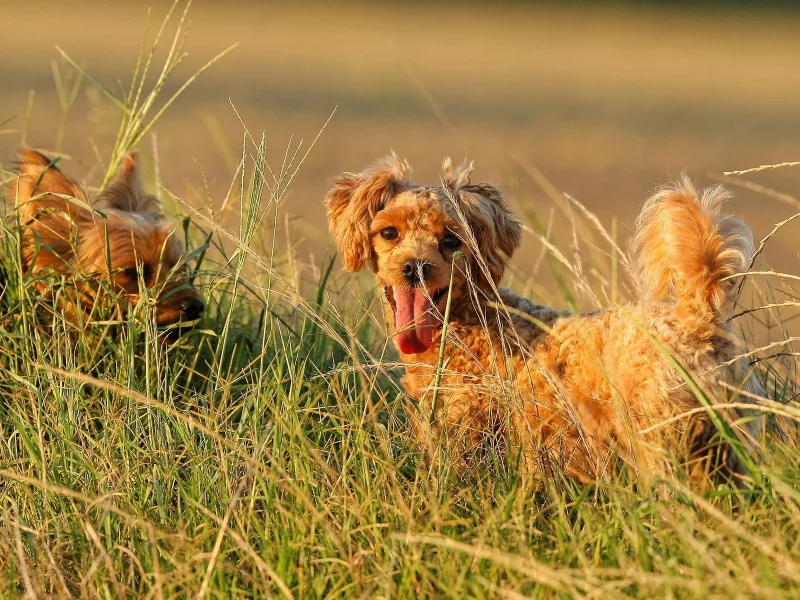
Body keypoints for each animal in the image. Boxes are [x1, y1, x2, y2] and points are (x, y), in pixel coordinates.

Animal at [324, 155, 764, 482]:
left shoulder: (468, 429)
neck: (470, 322)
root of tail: (698, 314)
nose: (415, 267)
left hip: (661, 440)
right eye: (389, 233)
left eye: (451, 240)